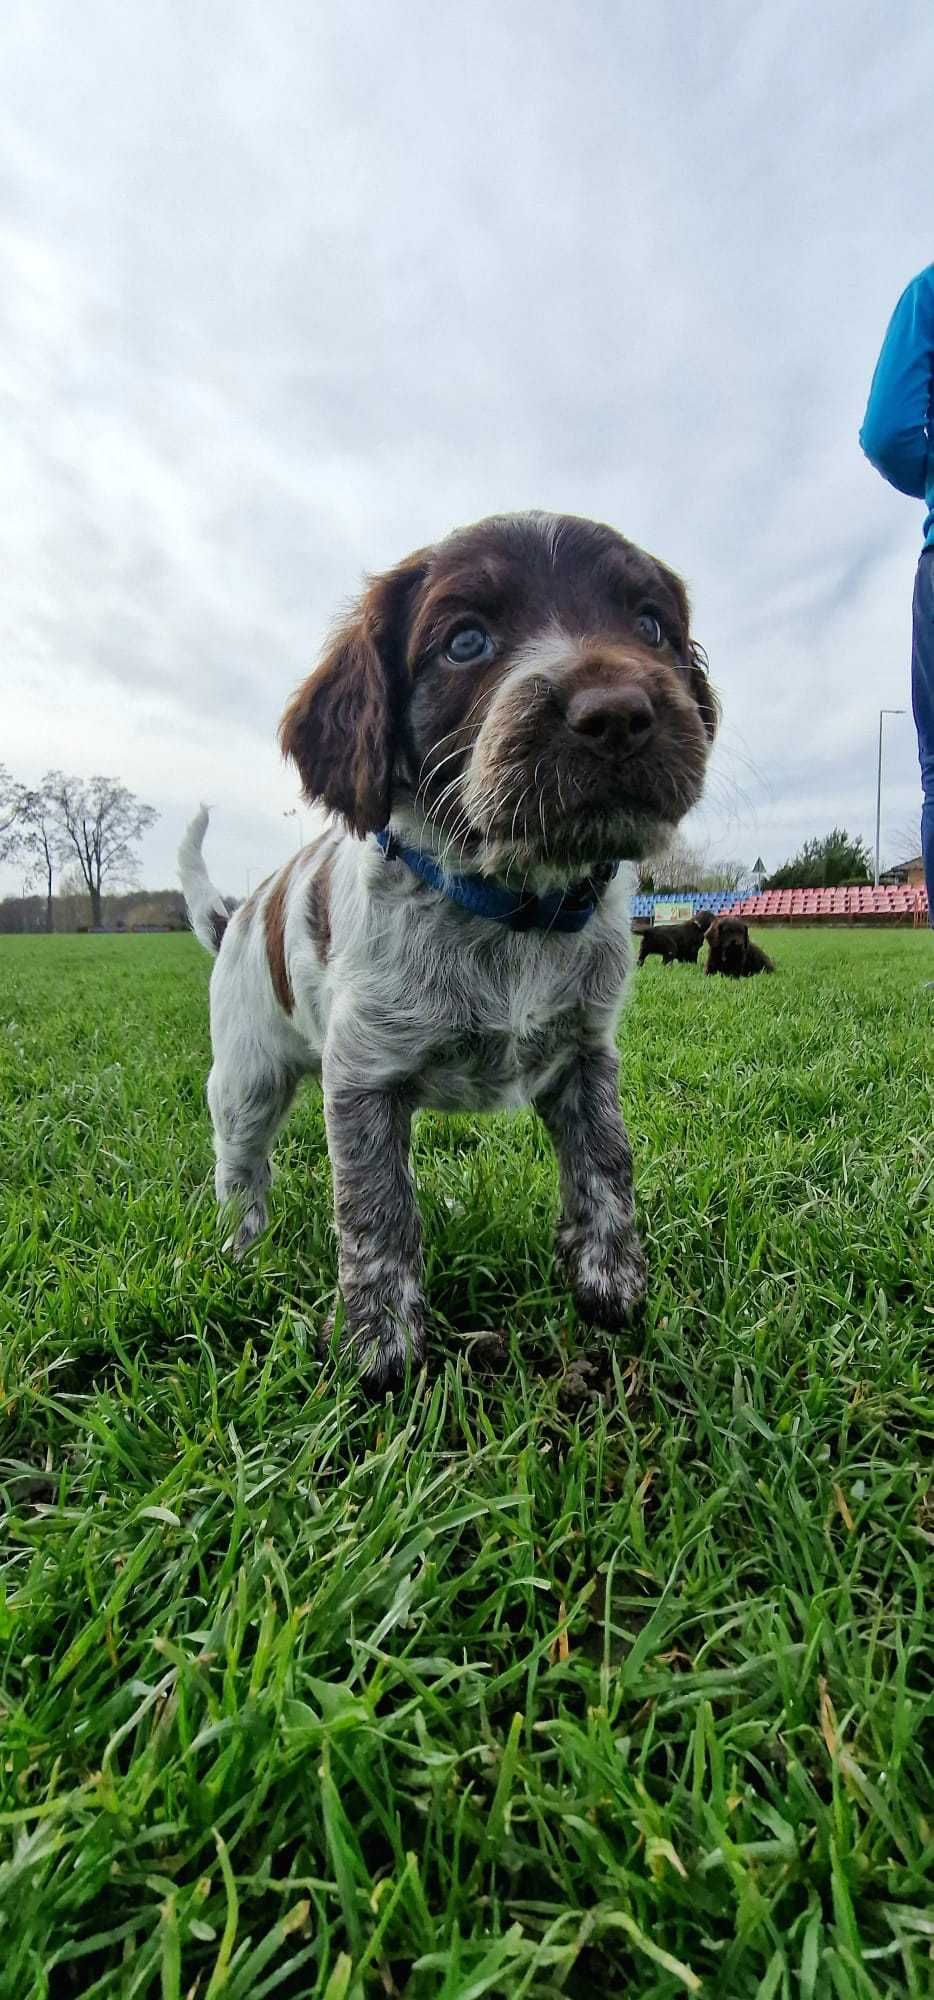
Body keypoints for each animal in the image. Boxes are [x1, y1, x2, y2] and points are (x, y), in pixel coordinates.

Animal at [185, 516, 724, 1392]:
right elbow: (376, 1211)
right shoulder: (362, 1077)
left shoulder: (586, 1052)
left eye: (651, 626)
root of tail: (238, 912)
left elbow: (606, 1164)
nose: (618, 714)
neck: (513, 906)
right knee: (242, 1167)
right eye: (465, 641)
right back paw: (240, 1247)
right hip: (245, 1075)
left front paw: (611, 1284)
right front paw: (380, 1347)